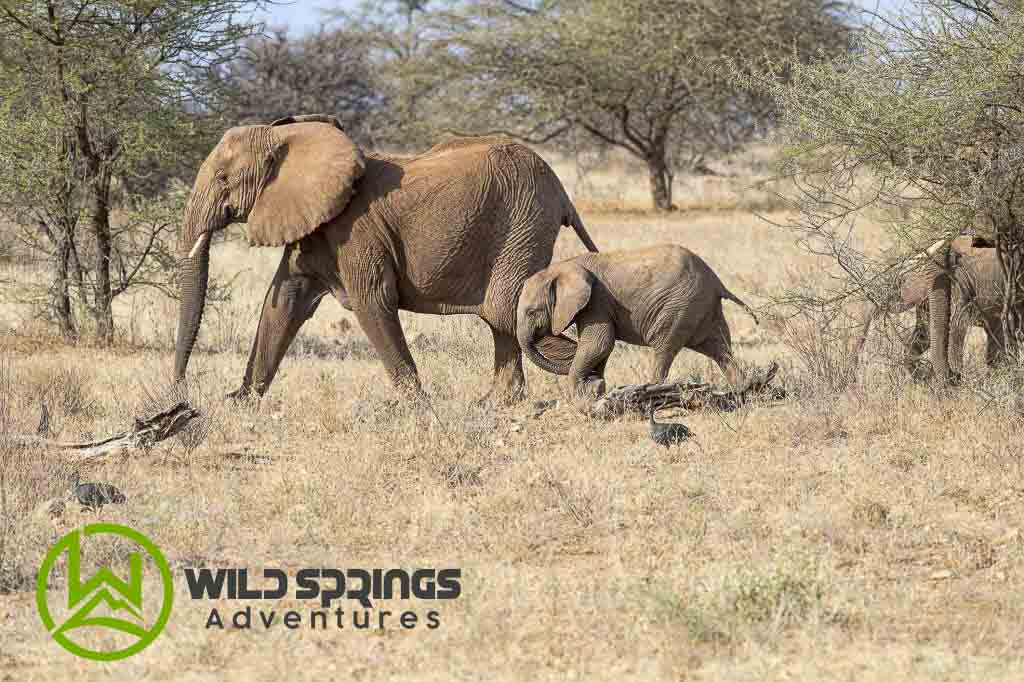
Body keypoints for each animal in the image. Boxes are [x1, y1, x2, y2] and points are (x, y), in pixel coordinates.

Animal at [172, 113, 598, 401]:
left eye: (223, 179)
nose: (181, 389)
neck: (293, 134)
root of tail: (562, 190)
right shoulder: (314, 225)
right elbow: (284, 303)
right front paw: (241, 402)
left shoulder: (356, 229)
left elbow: (371, 300)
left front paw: (417, 406)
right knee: (502, 315)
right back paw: (498, 404)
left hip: (523, 219)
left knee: (504, 309)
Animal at [516, 244, 757, 395]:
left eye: (532, 312)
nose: (596, 382)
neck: (565, 266)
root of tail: (717, 282)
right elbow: (601, 348)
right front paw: (595, 388)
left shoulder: (597, 301)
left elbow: (600, 343)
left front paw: (586, 392)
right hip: (704, 309)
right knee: (720, 349)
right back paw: (742, 390)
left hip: (680, 306)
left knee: (664, 348)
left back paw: (653, 391)